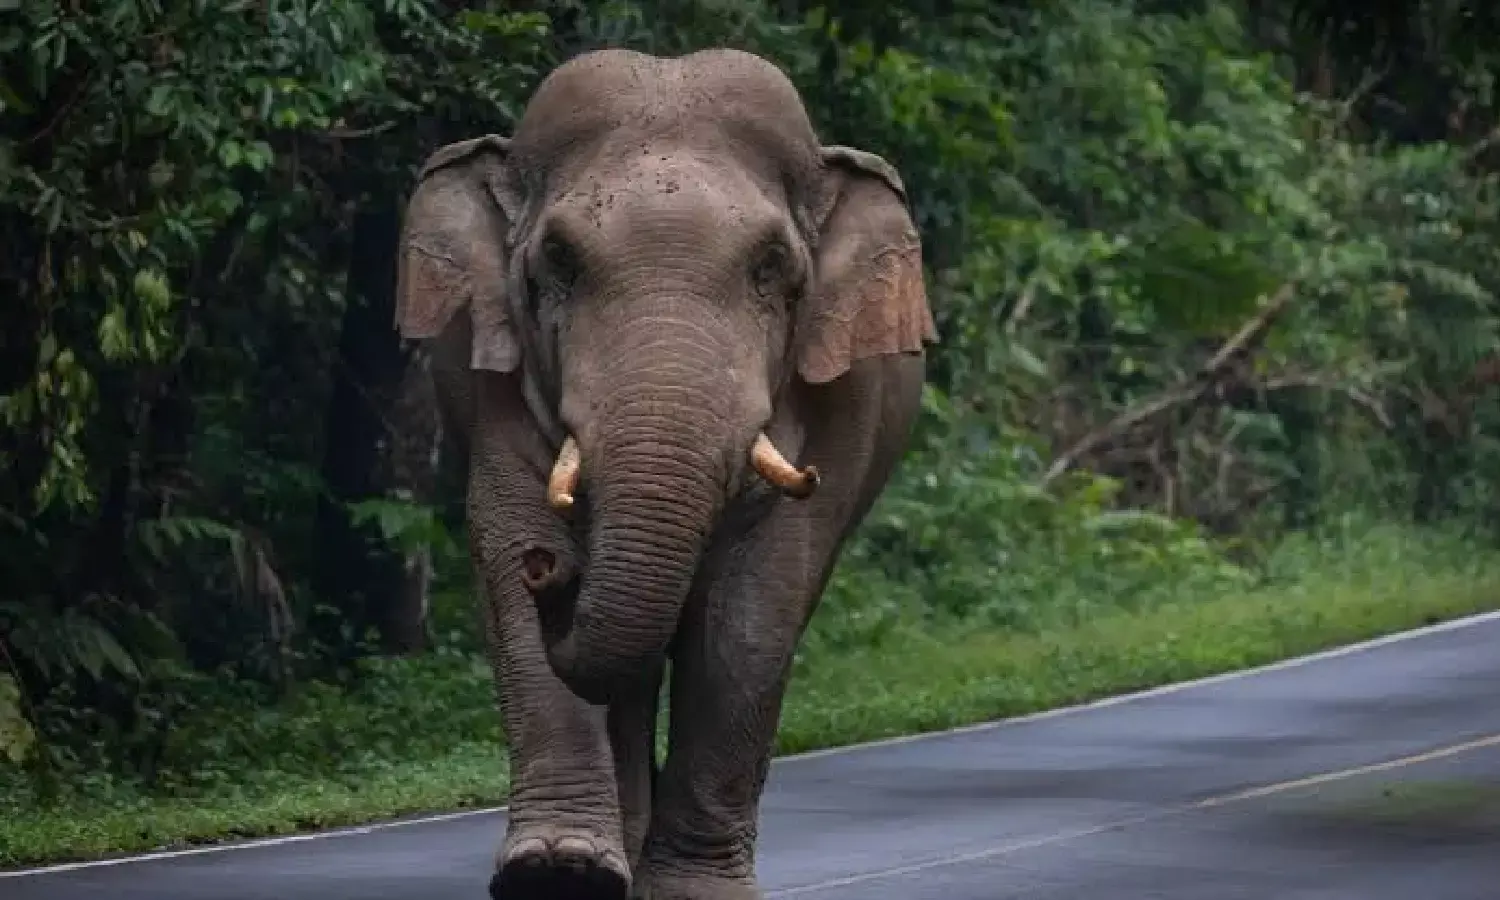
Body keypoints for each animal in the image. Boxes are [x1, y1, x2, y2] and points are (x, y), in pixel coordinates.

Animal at [393, 47, 937, 900]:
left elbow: (753, 609)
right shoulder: (491, 384)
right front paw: (559, 872)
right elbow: (509, 541)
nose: (554, 571)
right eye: (558, 263)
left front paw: (690, 891)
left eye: (772, 267)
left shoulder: (838, 402)